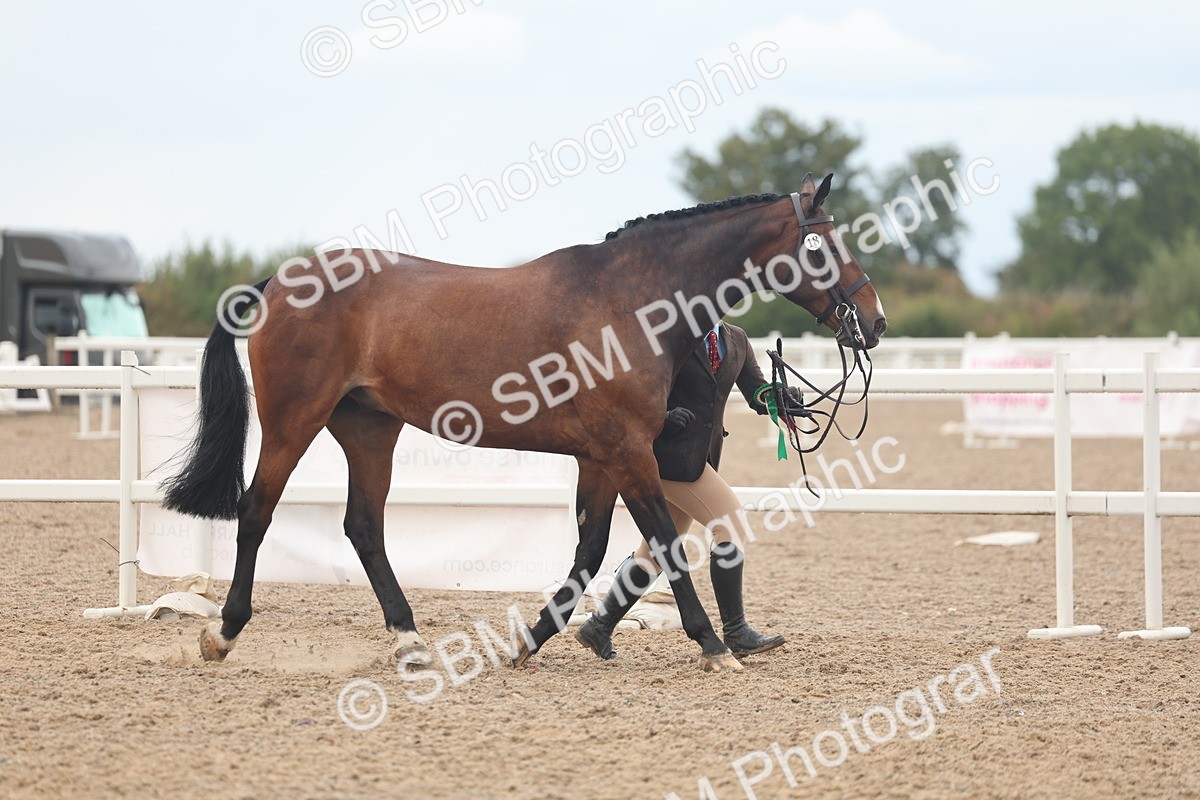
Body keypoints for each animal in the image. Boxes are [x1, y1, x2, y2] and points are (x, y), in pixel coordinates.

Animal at [161, 172, 886, 673]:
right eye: (822, 245)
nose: (874, 323)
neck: (629, 302)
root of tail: (281, 283)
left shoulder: (602, 458)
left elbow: (592, 552)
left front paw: (530, 643)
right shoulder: (629, 452)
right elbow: (665, 546)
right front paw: (712, 646)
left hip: (369, 430)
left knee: (363, 527)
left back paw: (410, 642)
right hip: (293, 422)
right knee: (256, 511)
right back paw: (221, 634)